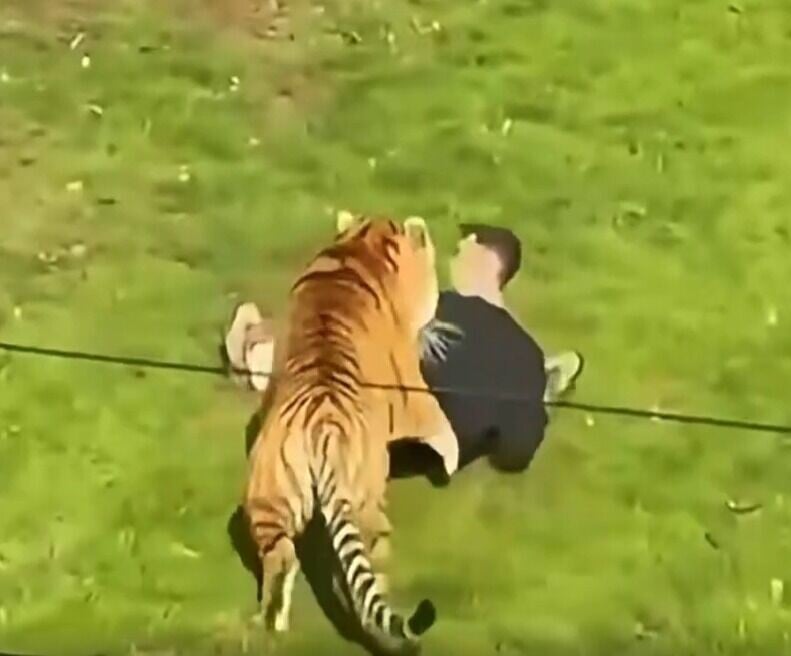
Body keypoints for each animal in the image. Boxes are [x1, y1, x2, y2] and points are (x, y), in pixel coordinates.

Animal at [243, 212, 460, 654]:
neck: (360, 245)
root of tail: (320, 431)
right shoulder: (412, 388)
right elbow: (442, 428)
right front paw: (451, 463)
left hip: (269, 493)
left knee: (281, 558)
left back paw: (272, 621)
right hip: (363, 497)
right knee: (370, 557)